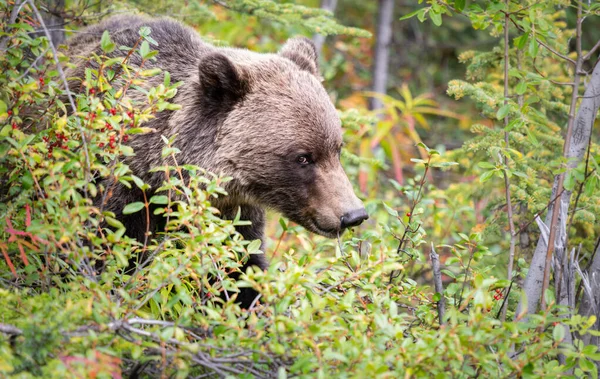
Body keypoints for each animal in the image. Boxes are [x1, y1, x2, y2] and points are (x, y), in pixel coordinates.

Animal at [64, 14, 366, 308]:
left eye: (337, 148)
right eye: (303, 157)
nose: (354, 214)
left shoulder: (236, 216)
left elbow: (239, 271)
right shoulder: (124, 195)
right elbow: (112, 256)